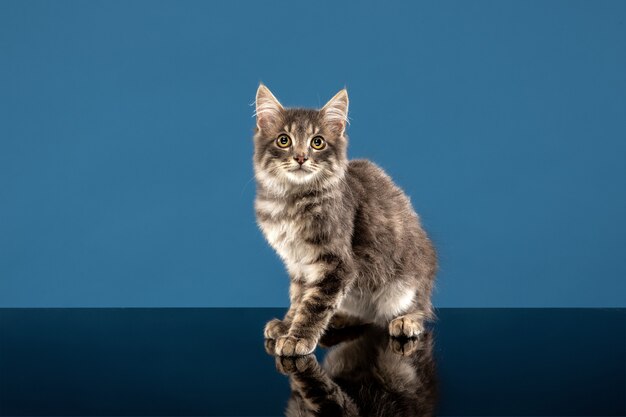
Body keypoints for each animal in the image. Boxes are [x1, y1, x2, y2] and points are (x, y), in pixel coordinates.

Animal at [252, 83, 434, 354]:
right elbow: (299, 297)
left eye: (317, 143)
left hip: (406, 285)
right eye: (284, 140)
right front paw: (287, 325)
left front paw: (297, 337)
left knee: (419, 309)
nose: (301, 157)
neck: (291, 201)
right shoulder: (297, 264)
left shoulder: (337, 264)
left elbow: (314, 304)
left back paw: (407, 320)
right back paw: (340, 318)